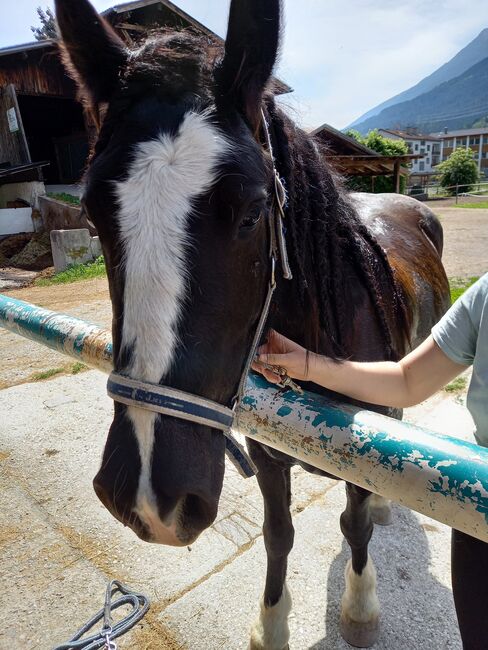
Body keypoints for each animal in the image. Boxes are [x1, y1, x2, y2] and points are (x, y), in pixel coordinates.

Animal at [54, 2, 450, 644]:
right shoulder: (265, 452)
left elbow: (355, 525)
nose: (147, 499)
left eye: (253, 211)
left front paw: (360, 608)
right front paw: (271, 625)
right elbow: (278, 534)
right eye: (91, 214)